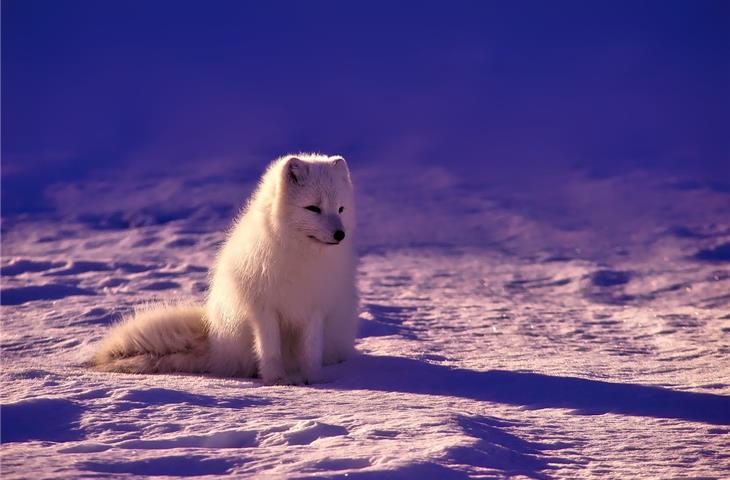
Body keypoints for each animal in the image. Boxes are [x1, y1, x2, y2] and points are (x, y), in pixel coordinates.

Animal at [91, 152, 358, 384]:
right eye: (313, 208)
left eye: (341, 208)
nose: (340, 234)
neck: (301, 256)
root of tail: (214, 343)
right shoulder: (263, 308)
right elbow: (270, 349)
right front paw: (278, 380)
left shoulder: (316, 308)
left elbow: (311, 351)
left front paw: (314, 380)